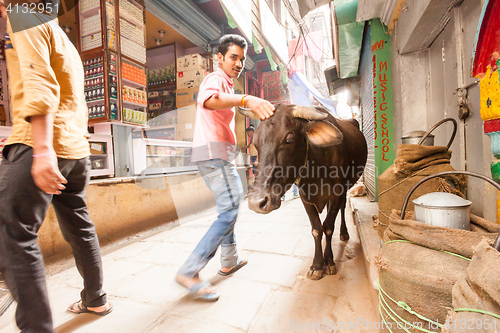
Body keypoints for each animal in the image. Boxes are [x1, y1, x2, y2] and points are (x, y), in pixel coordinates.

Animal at [239, 103, 368, 278]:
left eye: (289, 139)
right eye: (256, 142)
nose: (256, 202)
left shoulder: (337, 193)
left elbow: (328, 227)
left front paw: (329, 261)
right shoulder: (304, 197)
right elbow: (317, 229)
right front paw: (317, 264)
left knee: (341, 209)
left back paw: (343, 233)